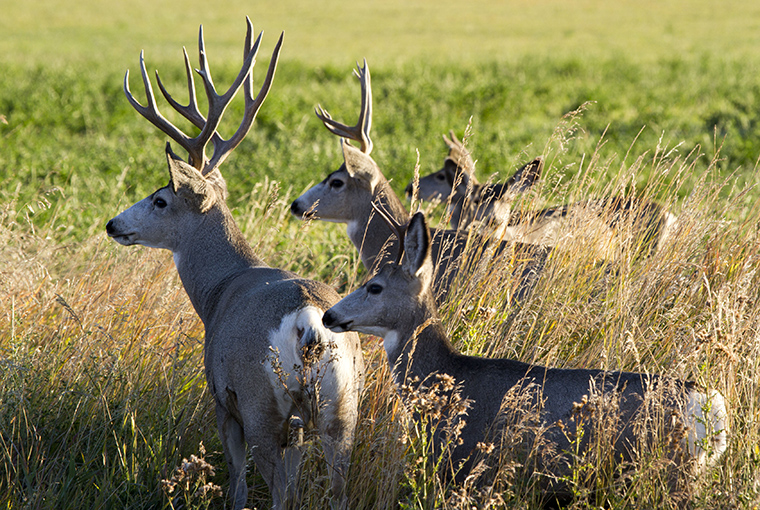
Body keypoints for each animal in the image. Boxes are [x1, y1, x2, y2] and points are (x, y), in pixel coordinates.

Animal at [105, 20, 364, 510]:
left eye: (160, 199)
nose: (113, 224)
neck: (221, 287)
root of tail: (308, 322)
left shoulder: (223, 396)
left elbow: (237, 483)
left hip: (261, 400)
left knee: (276, 490)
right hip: (341, 406)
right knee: (336, 486)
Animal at [322, 207, 728, 503]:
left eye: (374, 287)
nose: (329, 315)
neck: (446, 380)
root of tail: (711, 406)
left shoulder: (466, 465)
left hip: (671, 471)